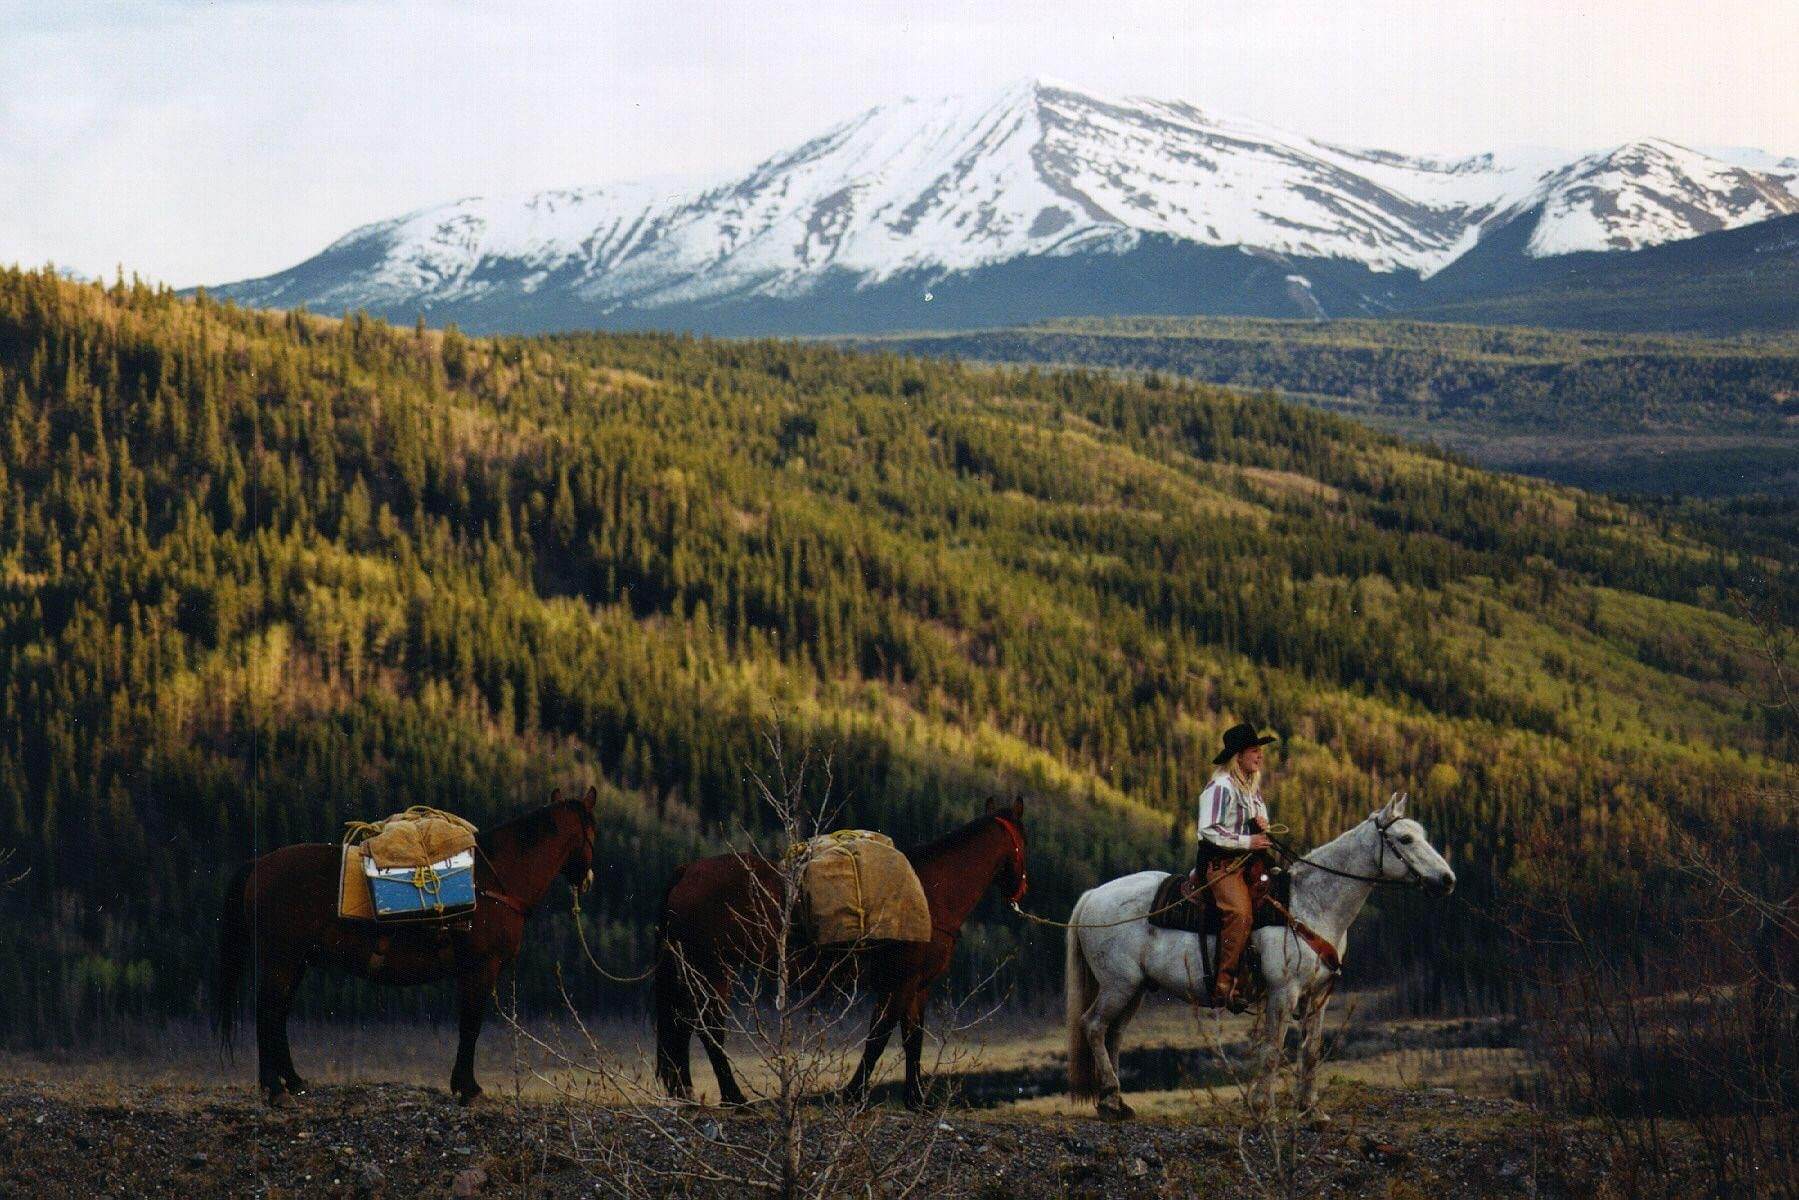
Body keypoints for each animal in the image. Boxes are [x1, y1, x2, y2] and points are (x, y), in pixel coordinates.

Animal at [214, 788, 597, 1108]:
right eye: (592, 833)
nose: (586, 879)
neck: (494, 882)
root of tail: (259, 865)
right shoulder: (479, 969)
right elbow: (470, 1025)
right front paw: (468, 1088)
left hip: (295, 962)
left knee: (278, 1014)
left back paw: (293, 1082)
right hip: (282, 959)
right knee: (268, 1012)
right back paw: (274, 1089)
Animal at [658, 802, 1029, 1115]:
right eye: (1022, 844)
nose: (1020, 891)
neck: (928, 894)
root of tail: (687, 871)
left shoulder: (917, 988)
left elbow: (912, 1039)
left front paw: (916, 1101)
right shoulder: (899, 984)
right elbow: (879, 1038)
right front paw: (853, 1095)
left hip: (696, 973)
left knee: (686, 1025)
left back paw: (690, 1095)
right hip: (713, 971)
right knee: (709, 1029)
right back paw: (735, 1099)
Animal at [1057, 791, 1453, 1122]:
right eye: (1405, 839)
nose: (1447, 879)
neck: (1310, 904)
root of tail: (1093, 895)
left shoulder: (1318, 996)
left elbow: (1311, 1050)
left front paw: (1311, 1112)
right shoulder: (1283, 993)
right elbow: (1272, 1050)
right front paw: (1265, 1109)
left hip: (1135, 988)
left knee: (1114, 1033)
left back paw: (1114, 1101)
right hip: (1118, 984)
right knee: (1094, 1026)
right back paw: (1111, 1100)